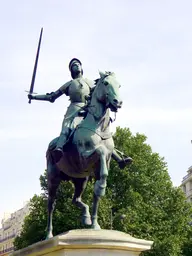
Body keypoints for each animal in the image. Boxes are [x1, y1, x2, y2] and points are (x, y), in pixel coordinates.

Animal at [45, 70, 122, 238]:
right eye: (105, 83)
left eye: (119, 85)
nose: (118, 102)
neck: (99, 127)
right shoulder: (84, 158)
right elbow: (99, 150)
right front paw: (101, 186)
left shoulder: (103, 165)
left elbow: (99, 188)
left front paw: (94, 223)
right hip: (53, 179)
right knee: (51, 205)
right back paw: (48, 234)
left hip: (81, 180)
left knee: (75, 199)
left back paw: (85, 217)